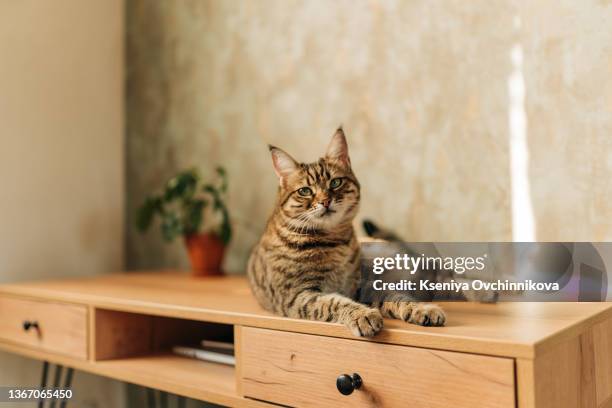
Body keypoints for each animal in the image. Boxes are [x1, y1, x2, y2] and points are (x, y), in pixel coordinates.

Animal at [246, 128, 448, 338]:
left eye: (335, 182)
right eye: (305, 191)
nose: (325, 201)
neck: (333, 241)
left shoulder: (361, 284)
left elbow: (396, 296)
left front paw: (422, 309)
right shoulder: (298, 295)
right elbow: (334, 303)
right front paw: (363, 315)